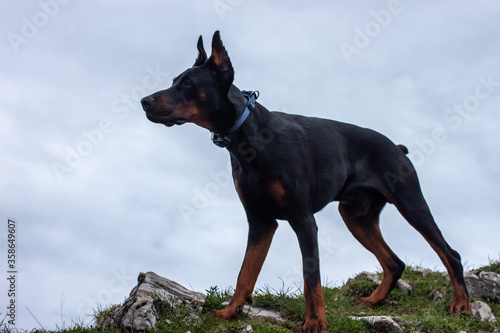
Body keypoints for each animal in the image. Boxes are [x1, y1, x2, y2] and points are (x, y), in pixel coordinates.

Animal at [141, 30, 468, 330]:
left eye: (188, 83)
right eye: (174, 80)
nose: (144, 101)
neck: (250, 139)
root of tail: (397, 147)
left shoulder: (304, 220)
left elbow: (311, 278)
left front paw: (315, 322)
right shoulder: (260, 221)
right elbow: (245, 273)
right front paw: (229, 311)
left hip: (410, 202)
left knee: (449, 253)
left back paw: (461, 305)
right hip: (355, 216)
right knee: (395, 262)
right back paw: (374, 300)